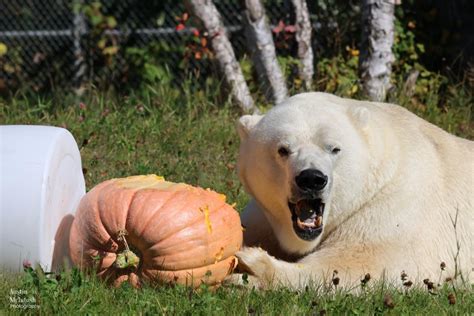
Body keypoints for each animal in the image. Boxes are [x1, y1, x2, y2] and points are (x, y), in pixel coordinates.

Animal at [233, 91, 474, 288]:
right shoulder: (263, 216)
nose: (311, 179)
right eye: (283, 149)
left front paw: (253, 267)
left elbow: (367, 262)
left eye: (334, 148)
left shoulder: (398, 204)